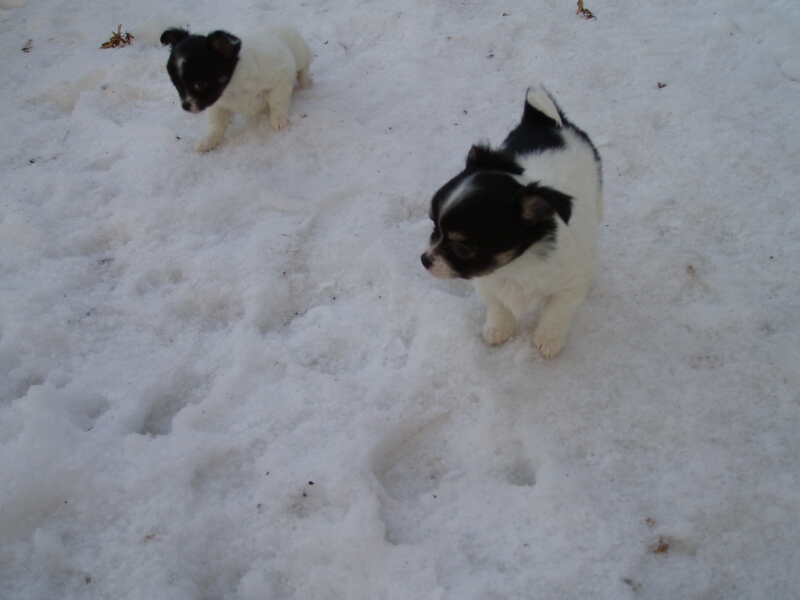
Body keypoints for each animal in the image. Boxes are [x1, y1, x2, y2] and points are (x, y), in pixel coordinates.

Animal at [159, 25, 312, 152]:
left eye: (200, 85)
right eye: (176, 85)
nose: (185, 106)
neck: (232, 85)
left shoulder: (280, 78)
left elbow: (277, 102)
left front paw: (279, 120)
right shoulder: (219, 105)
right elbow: (216, 123)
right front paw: (208, 140)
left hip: (300, 55)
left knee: (304, 66)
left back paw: (306, 83)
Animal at [422, 84, 604, 356]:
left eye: (462, 249)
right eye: (434, 226)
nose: (424, 260)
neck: (516, 266)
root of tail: (544, 122)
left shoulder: (569, 287)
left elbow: (556, 314)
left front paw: (548, 341)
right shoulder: (487, 283)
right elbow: (498, 306)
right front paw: (498, 329)